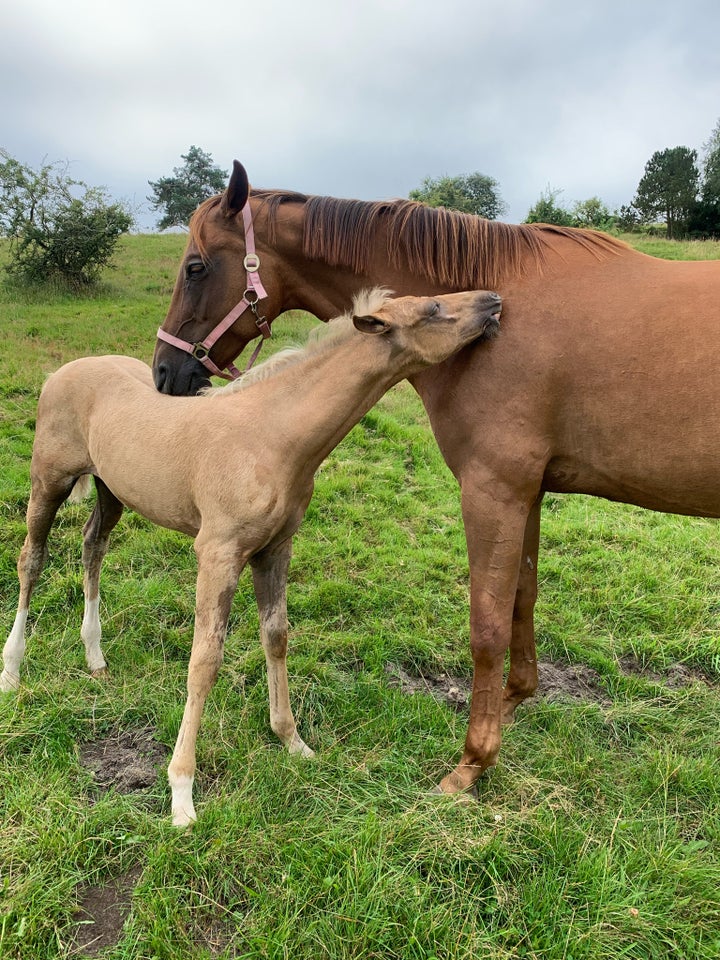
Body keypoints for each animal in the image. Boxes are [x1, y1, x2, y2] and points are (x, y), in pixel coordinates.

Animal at [1, 286, 500, 824]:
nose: (493, 301)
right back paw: (12, 670)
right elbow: (204, 660)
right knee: (32, 559)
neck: (272, 436)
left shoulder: (274, 549)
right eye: (432, 308)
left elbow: (276, 636)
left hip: (112, 490)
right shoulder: (218, 553)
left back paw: (95, 656)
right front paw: (181, 794)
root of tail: (62, 372)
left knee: (93, 545)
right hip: (47, 481)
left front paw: (293, 741)